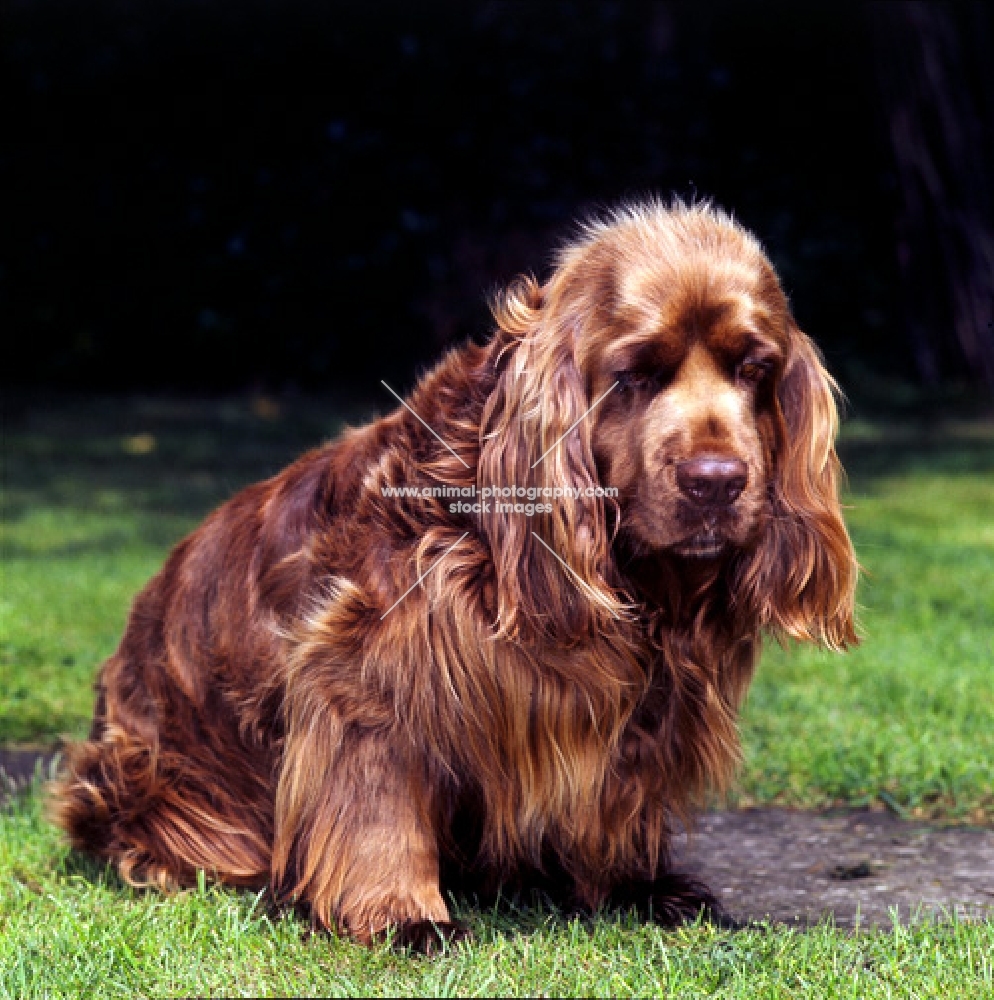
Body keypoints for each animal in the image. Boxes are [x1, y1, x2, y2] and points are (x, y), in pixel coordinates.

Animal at [54, 199, 856, 948]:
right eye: (634, 375)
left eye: (755, 369)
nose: (717, 482)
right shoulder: (364, 671)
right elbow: (380, 798)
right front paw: (401, 912)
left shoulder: (642, 706)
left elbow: (620, 793)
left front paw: (639, 885)